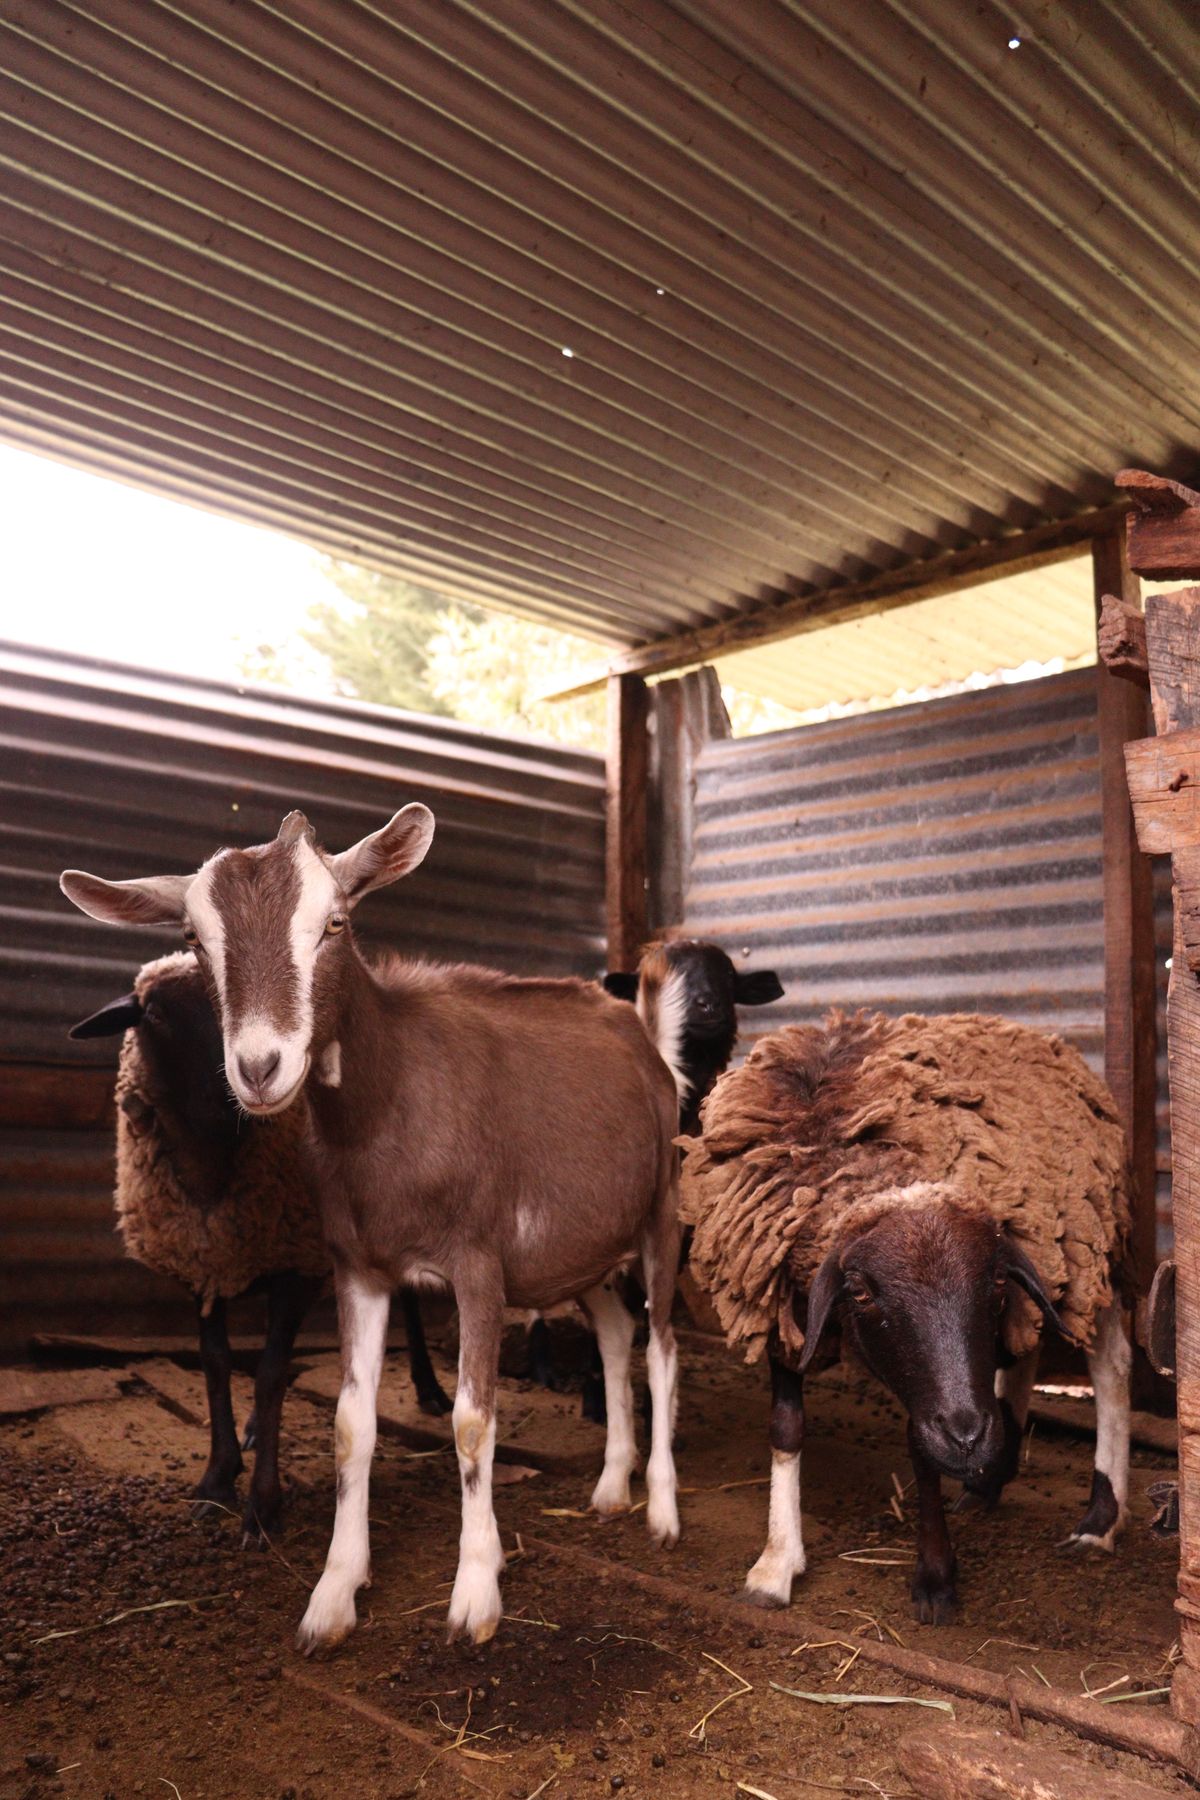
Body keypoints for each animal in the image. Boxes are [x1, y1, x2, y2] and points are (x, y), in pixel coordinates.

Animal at [69, 950, 451, 1543]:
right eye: (154, 1014)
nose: (241, 1088)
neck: (214, 1162)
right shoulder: (202, 1264)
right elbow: (216, 1362)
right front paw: (218, 1476)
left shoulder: (294, 1265)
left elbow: (271, 1373)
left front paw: (262, 1503)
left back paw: (430, 1388)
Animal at [678, 1008, 1135, 1624]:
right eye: (860, 1292)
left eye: (994, 1278)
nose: (968, 1437)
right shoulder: (778, 1310)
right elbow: (786, 1427)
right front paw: (775, 1563)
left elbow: (921, 1453)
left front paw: (935, 1578)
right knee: (1023, 1350)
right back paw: (988, 1483)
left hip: (1092, 1248)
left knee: (1112, 1364)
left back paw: (1098, 1520)